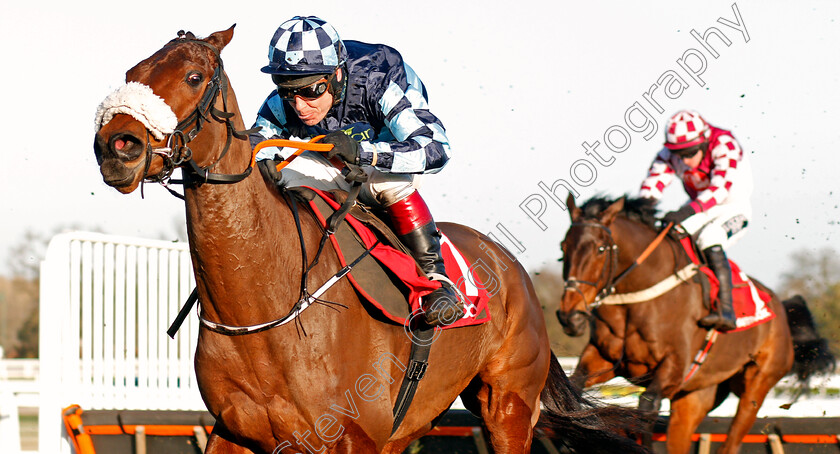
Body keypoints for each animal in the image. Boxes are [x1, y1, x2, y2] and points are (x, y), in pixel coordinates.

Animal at [92, 27, 648, 454]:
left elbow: (427, 143)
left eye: (193, 77)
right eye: (133, 71)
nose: (116, 145)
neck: (265, 301)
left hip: (507, 404)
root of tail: (511, 267)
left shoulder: (350, 437)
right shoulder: (234, 433)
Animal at [556, 194, 836, 454]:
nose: (570, 316)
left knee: (732, 441)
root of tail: (780, 310)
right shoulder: (604, 358)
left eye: (600, 249)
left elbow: (646, 405)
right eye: (563, 247)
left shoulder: (673, 367)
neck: (637, 297)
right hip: (697, 395)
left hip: (756, 387)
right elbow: (572, 389)